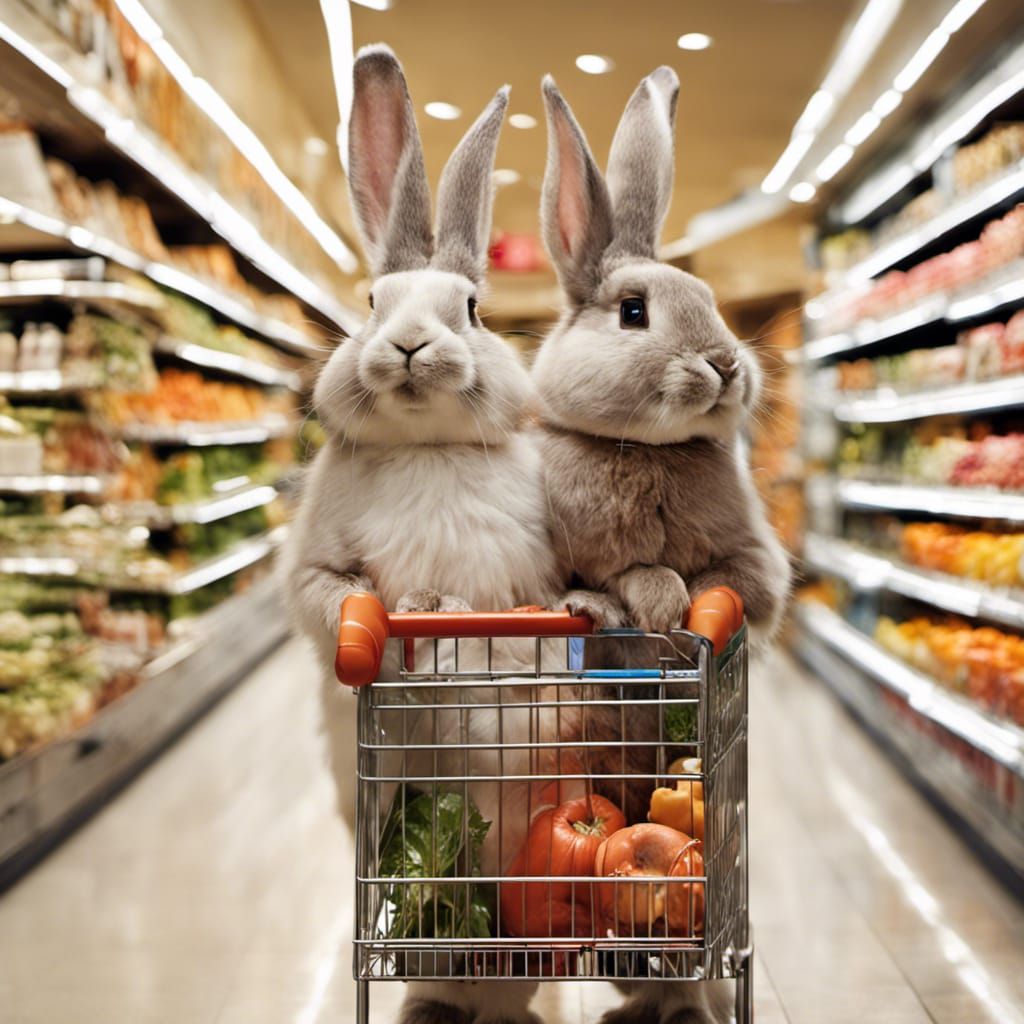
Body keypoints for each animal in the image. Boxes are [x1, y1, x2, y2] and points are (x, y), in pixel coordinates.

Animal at [282, 45, 558, 1024]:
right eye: (371, 300)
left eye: (471, 308)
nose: (405, 345)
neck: (426, 445)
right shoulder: (317, 561)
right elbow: (335, 596)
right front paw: (401, 626)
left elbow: (513, 622)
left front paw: (446, 634)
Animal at [530, 68, 791, 1024]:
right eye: (633, 312)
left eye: (711, 301)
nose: (725, 364)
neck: (647, 449)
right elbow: (612, 578)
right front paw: (642, 596)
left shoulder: (752, 564)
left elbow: (729, 583)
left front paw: (680, 601)